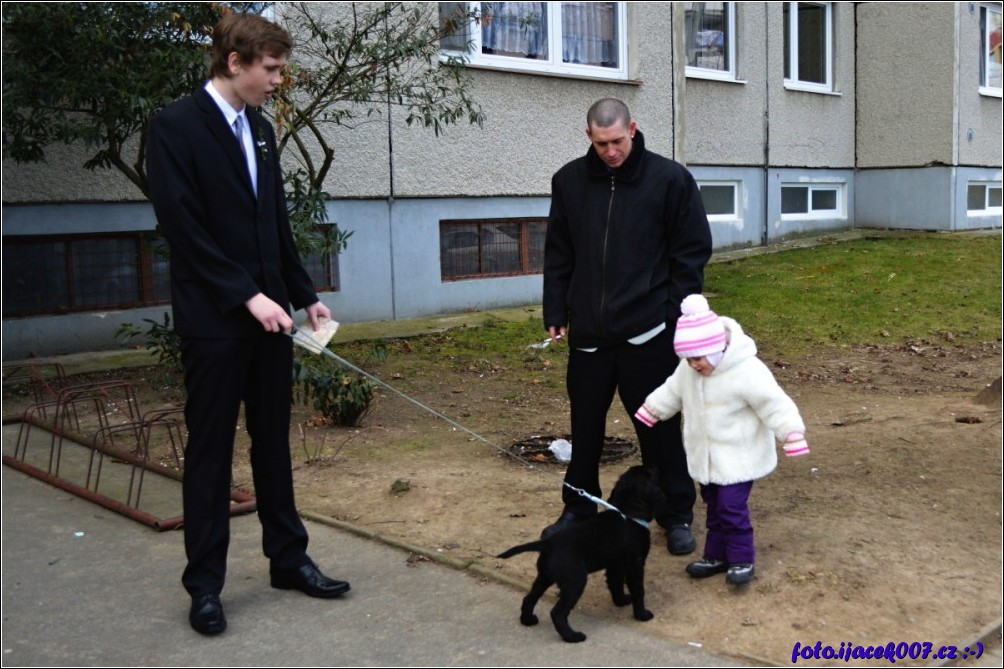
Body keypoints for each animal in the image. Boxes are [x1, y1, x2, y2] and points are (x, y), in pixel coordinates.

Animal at [495, 464, 666, 642]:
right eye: (650, 473)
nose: (657, 465)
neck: (628, 511)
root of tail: (548, 544)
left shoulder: (615, 565)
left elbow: (616, 584)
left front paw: (621, 601)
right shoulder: (635, 564)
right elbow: (638, 590)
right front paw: (642, 615)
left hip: (544, 577)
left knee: (529, 598)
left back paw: (528, 620)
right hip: (574, 582)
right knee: (557, 613)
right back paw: (573, 636)